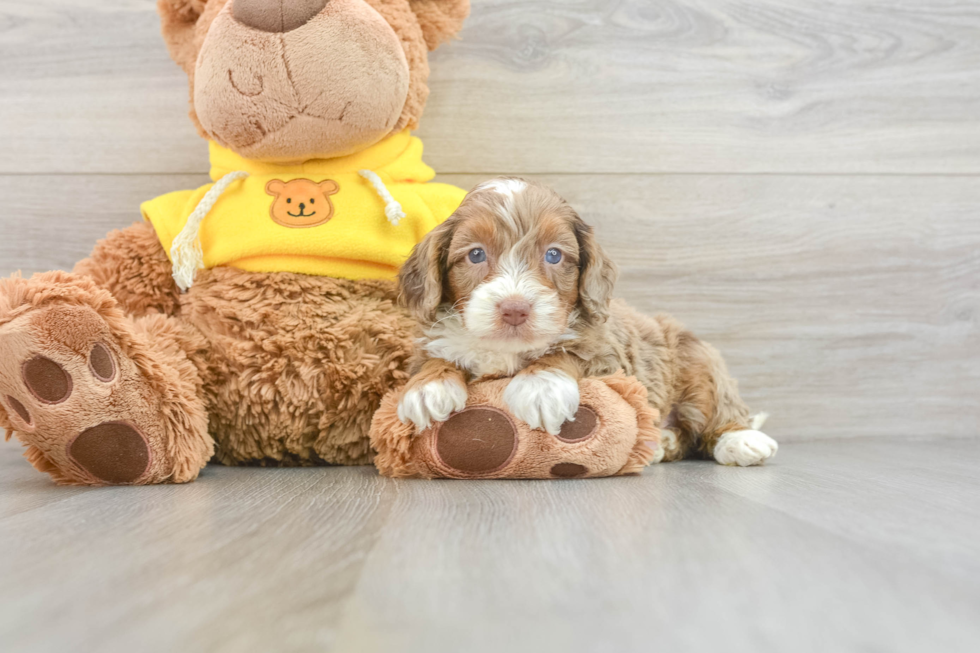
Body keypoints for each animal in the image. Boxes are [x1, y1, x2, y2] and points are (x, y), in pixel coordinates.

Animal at [394, 178, 776, 464]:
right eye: (475, 254)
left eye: (553, 254)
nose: (515, 309)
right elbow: (434, 357)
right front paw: (429, 387)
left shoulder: (608, 352)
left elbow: (570, 351)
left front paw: (540, 386)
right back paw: (662, 441)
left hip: (697, 360)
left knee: (716, 408)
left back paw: (742, 440)